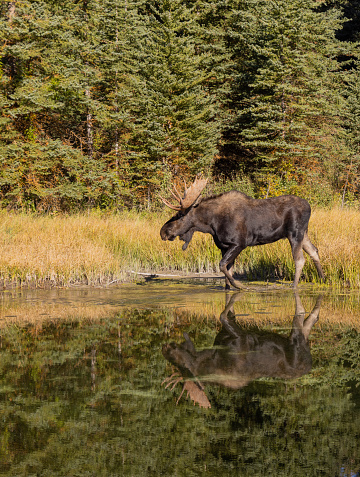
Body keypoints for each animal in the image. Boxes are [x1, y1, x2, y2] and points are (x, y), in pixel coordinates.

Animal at [159, 178, 324, 286]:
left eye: (180, 215)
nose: (163, 232)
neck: (211, 224)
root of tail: (309, 207)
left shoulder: (239, 243)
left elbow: (222, 265)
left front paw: (239, 285)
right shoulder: (223, 246)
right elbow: (227, 270)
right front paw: (229, 287)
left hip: (294, 233)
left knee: (299, 259)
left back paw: (294, 286)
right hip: (304, 234)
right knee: (314, 251)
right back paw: (322, 279)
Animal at [162, 290, 322, 406]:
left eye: (175, 359)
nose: (164, 347)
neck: (211, 358)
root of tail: (310, 362)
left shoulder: (241, 339)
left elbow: (223, 315)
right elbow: (227, 315)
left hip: (295, 343)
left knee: (300, 319)